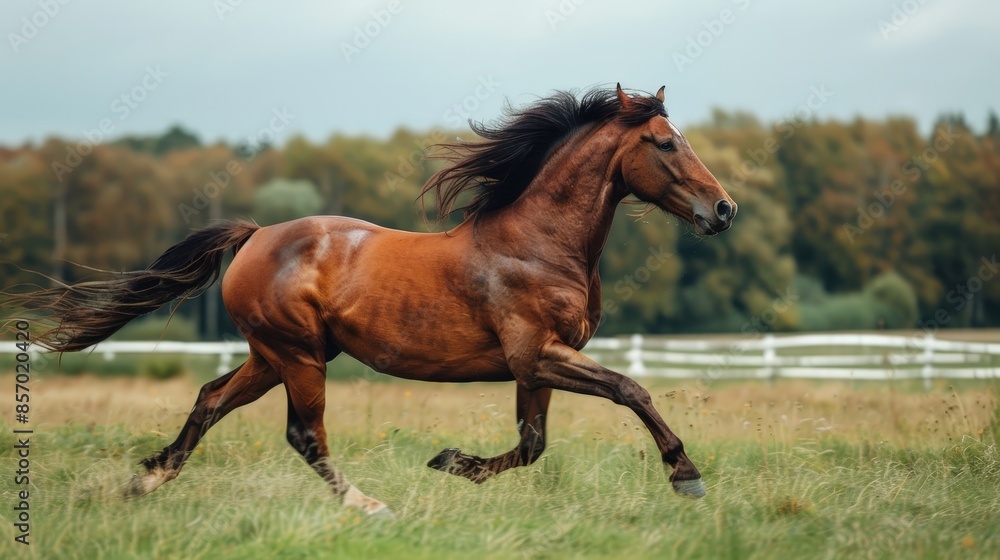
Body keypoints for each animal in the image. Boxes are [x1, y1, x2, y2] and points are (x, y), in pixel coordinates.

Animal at [4, 84, 736, 515]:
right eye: (664, 143)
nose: (724, 210)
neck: (536, 243)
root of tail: (256, 235)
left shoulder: (535, 366)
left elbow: (532, 444)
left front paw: (452, 463)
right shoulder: (538, 355)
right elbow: (629, 390)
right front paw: (686, 474)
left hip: (273, 357)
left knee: (211, 399)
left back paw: (146, 480)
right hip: (298, 356)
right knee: (305, 435)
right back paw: (368, 505)